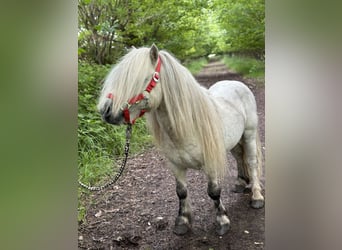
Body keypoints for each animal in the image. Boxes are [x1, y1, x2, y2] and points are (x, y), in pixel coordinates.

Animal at [97, 44, 264, 234]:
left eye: (142, 79)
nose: (106, 111)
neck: (187, 127)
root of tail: (237, 84)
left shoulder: (210, 163)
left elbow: (213, 191)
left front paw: (222, 221)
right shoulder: (175, 165)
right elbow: (181, 192)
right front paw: (182, 221)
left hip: (249, 134)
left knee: (251, 162)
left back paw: (257, 197)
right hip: (234, 141)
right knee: (238, 157)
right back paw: (240, 183)